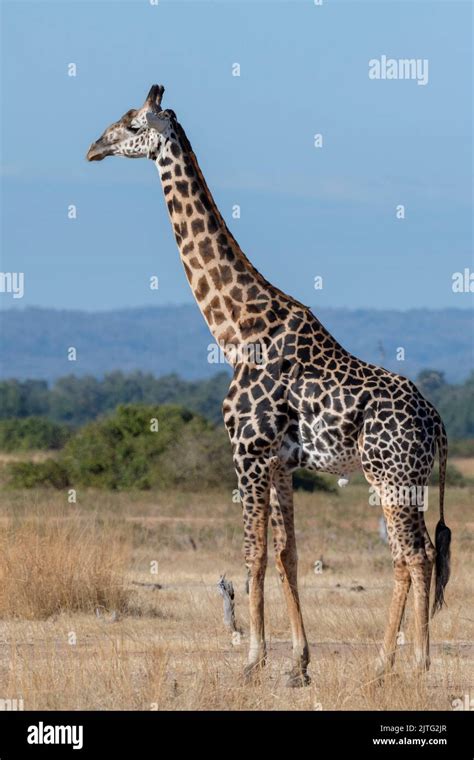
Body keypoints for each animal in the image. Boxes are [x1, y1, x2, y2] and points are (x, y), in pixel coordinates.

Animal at [87, 86, 454, 684]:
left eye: (130, 123)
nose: (93, 147)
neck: (236, 330)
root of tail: (439, 424)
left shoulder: (248, 452)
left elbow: (252, 555)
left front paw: (253, 660)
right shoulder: (280, 461)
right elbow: (288, 555)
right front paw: (297, 666)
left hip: (389, 475)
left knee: (411, 555)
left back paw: (393, 664)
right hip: (411, 479)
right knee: (422, 551)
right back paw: (414, 660)